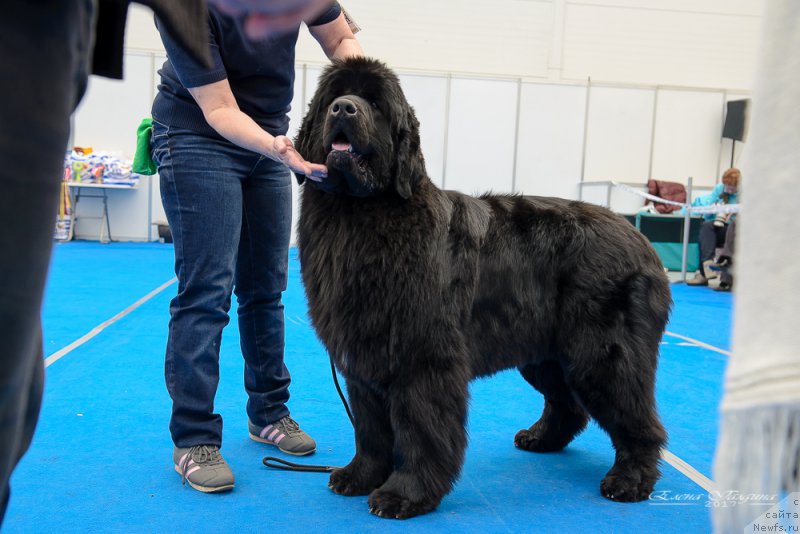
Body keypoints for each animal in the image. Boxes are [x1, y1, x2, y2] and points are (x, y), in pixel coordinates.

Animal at [294, 57, 668, 520]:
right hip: (547, 353)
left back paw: (629, 479)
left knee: (636, 416)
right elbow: (370, 428)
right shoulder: (365, 360)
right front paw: (359, 475)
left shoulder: (423, 357)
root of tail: (642, 239)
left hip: (600, 354)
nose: (345, 109)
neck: (359, 215)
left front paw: (406, 493)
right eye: (334, 97)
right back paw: (541, 438)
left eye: (375, 104)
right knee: (567, 403)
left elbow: (420, 428)